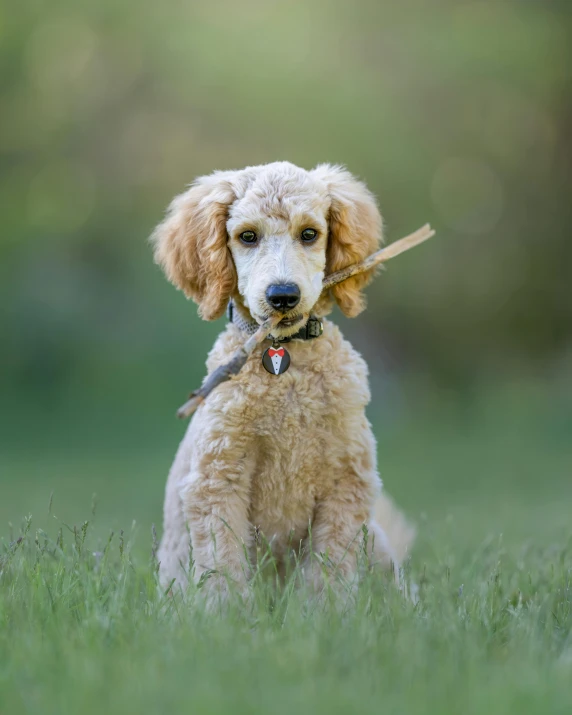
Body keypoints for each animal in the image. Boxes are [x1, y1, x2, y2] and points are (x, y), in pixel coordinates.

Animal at [151, 161, 412, 604]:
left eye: (309, 234)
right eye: (247, 236)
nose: (283, 296)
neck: (283, 363)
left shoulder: (346, 481)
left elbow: (329, 571)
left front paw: (327, 614)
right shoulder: (218, 478)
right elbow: (222, 566)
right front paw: (223, 616)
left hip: (376, 543)